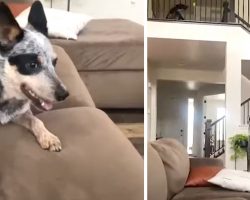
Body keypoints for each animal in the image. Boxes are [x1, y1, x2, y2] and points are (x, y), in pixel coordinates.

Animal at [0, 1, 69, 152]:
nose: (65, 94)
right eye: (32, 65)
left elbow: (36, 120)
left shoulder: (21, 113)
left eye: (55, 62)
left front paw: (48, 137)